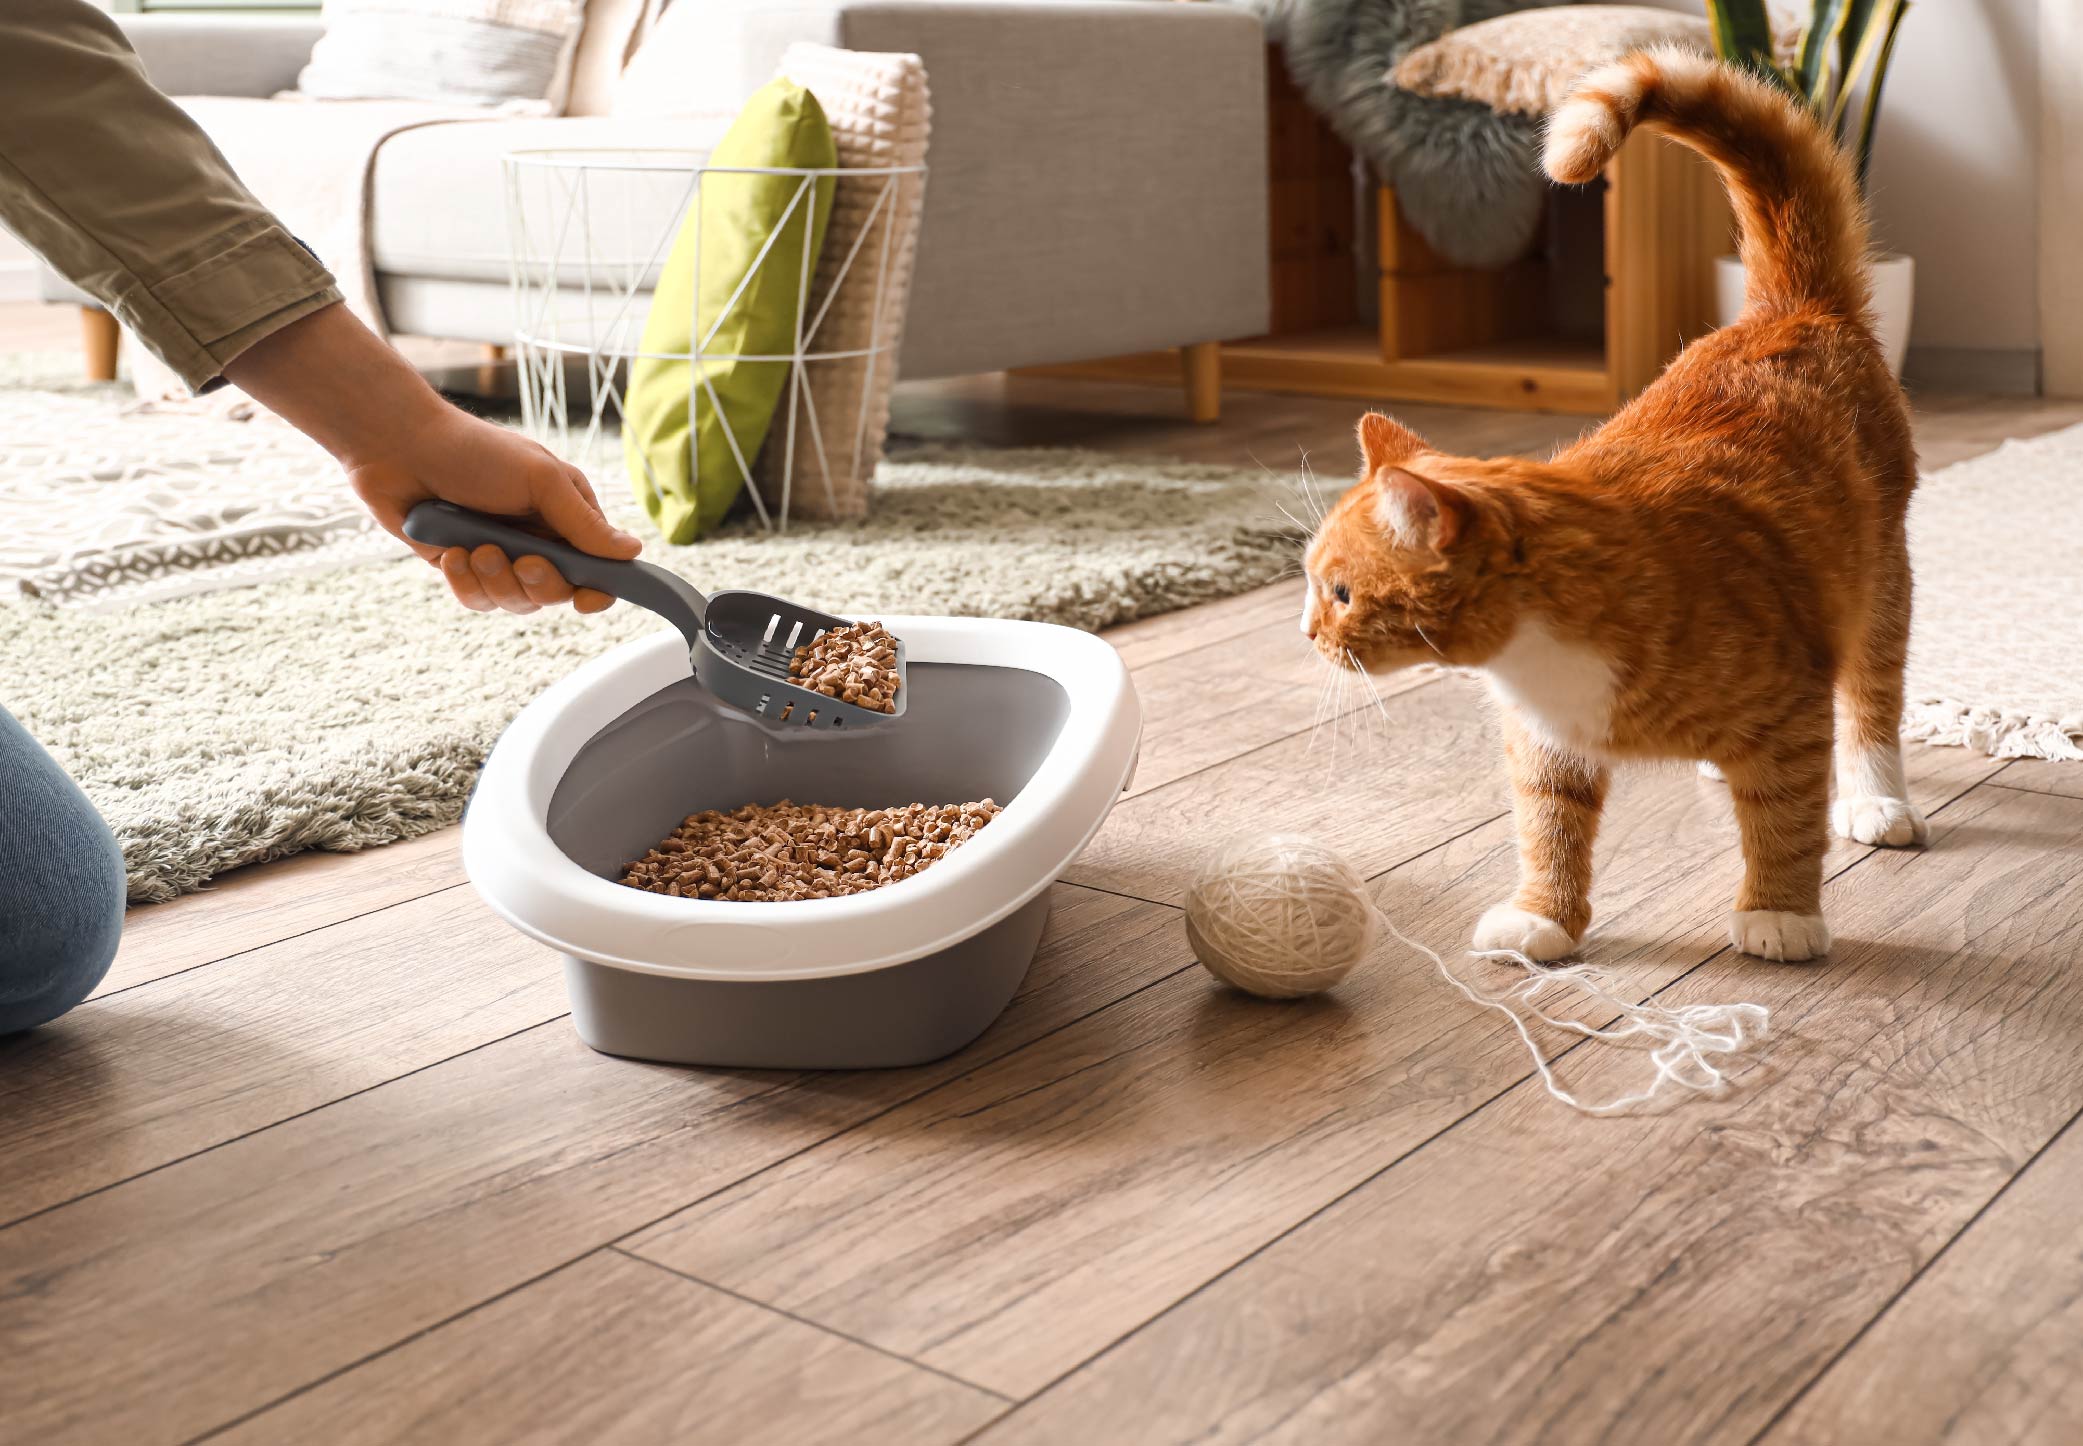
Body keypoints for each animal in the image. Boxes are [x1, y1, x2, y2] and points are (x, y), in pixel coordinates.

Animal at [1308, 51, 1908, 966]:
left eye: (1340, 594)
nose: (1307, 634)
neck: (1533, 652)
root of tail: (1790, 309)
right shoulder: (1545, 743)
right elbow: (1548, 830)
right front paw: (1543, 918)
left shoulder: (1789, 711)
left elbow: (1784, 821)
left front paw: (1778, 915)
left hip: (1879, 584)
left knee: (1870, 700)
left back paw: (1876, 799)